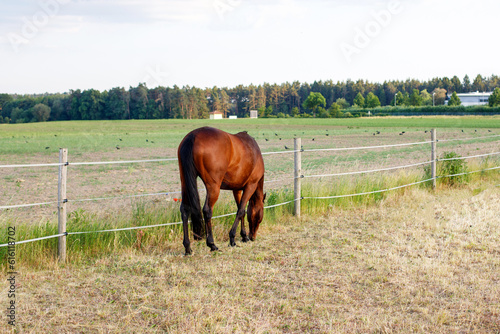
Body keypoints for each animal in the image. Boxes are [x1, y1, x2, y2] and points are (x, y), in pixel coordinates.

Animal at [179, 126, 266, 254]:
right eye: (260, 218)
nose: (252, 237)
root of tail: (194, 135)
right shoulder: (251, 186)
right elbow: (241, 211)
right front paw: (232, 239)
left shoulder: (237, 189)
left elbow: (241, 211)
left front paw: (243, 236)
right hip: (213, 188)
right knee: (207, 211)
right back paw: (212, 244)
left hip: (185, 183)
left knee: (185, 210)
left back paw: (187, 247)